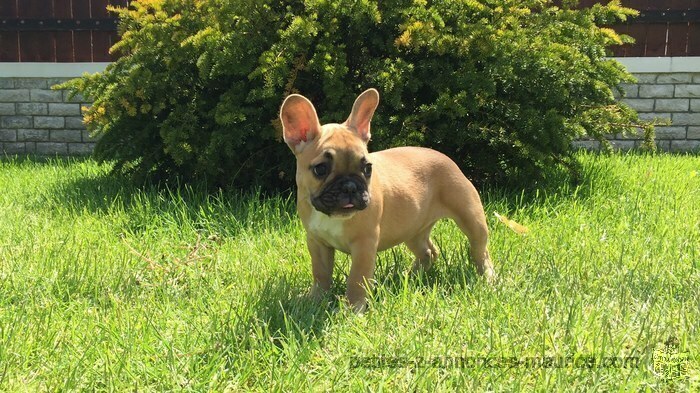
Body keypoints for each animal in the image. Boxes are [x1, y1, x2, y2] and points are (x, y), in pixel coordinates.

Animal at [276, 88, 494, 310]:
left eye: (367, 168)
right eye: (320, 169)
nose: (350, 186)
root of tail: (446, 158)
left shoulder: (364, 246)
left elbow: (357, 279)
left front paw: (353, 308)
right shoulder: (317, 242)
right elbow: (320, 273)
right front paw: (315, 300)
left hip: (471, 218)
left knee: (479, 250)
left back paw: (487, 278)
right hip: (412, 230)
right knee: (428, 252)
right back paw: (410, 277)